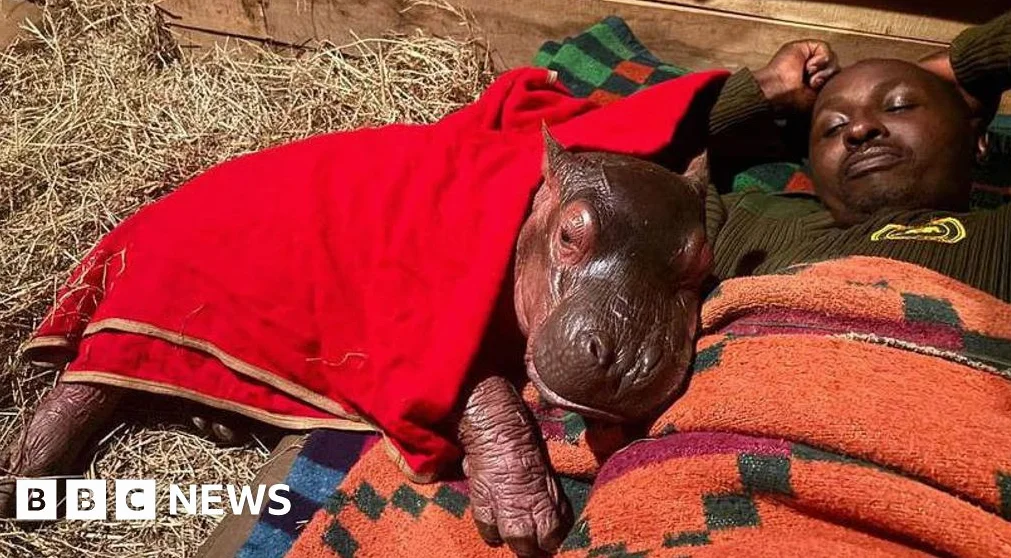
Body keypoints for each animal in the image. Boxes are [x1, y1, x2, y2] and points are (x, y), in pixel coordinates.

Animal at [0, 129, 712, 557]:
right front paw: (527, 524)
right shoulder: (432, 345)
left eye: (701, 263)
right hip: (141, 301)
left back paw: (215, 423)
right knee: (82, 385)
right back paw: (25, 477)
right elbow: (490, 396)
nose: (623, 360)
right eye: (570, 233)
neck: (526, 222)